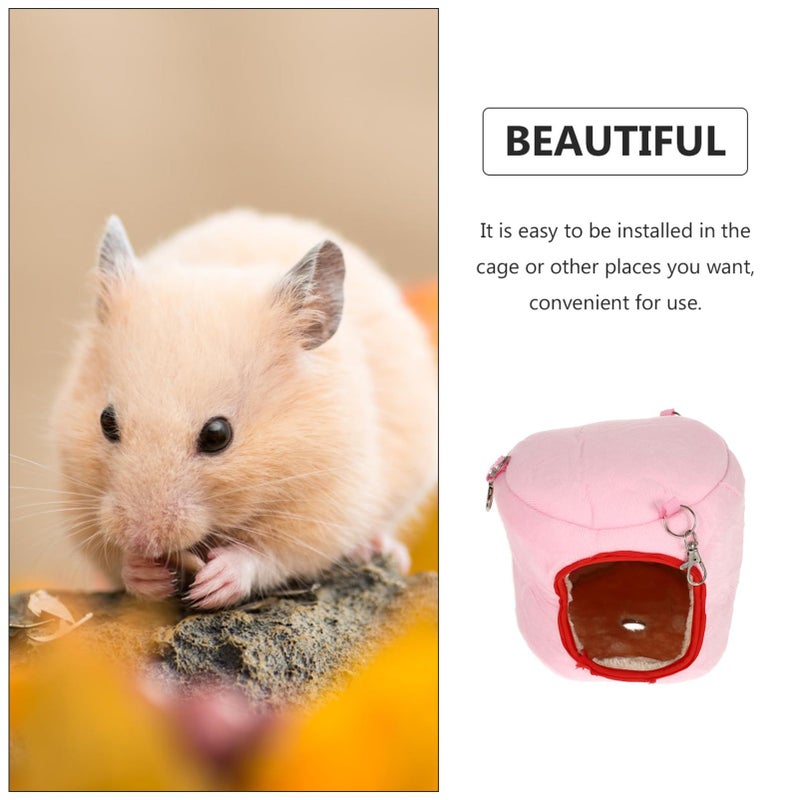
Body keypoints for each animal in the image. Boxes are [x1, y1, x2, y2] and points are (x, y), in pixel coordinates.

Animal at [53, 210, 437, 609]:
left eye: (217, 435)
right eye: (106, 421)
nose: (143, 538)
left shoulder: (324, 510)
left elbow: (269, 556)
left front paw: (212, 585)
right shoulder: (78, 499)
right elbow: (115, 561)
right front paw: (146, 572)